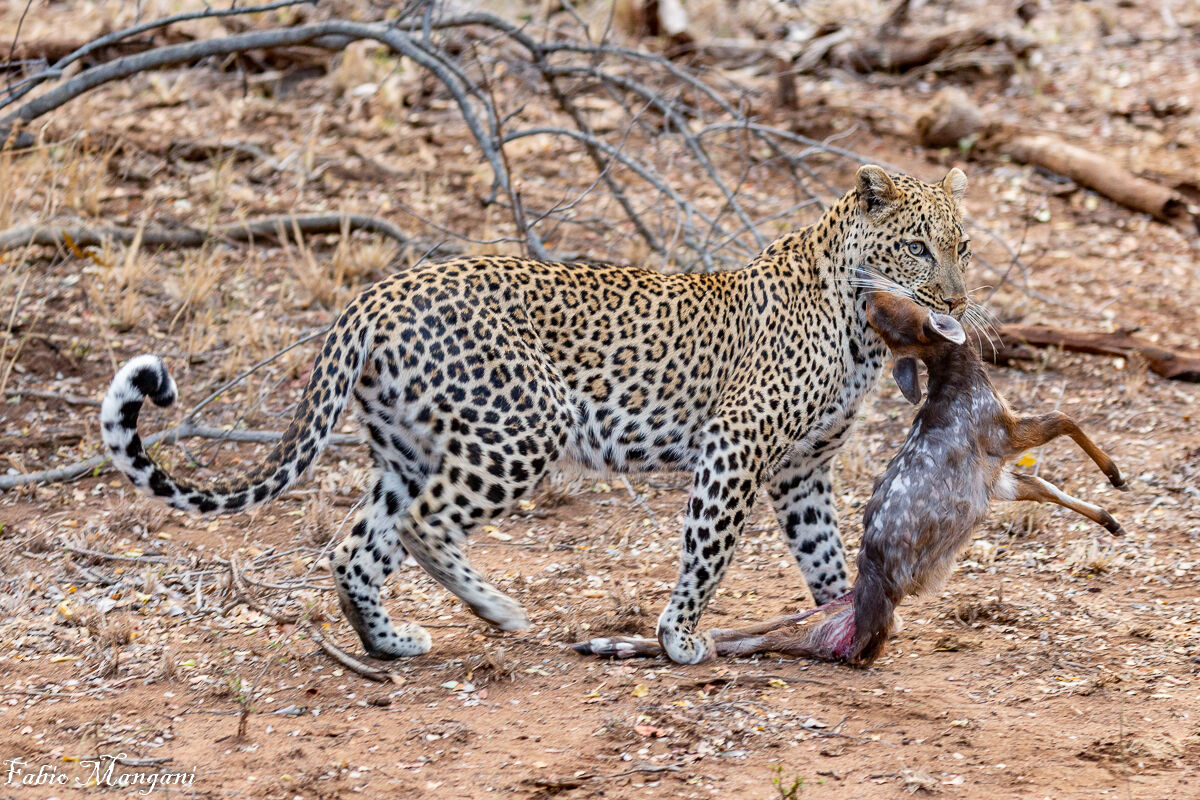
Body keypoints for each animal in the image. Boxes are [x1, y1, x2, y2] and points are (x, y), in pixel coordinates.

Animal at [100, 165, 972, 665]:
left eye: (962, 245)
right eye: (918, 248)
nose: (958, 300)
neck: (859, 328)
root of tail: (374, 296)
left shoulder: (802, 471)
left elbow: (825, 556)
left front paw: (844, 621)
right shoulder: (738, 446)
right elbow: (709, 551)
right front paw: (679, 637)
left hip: (411, 447)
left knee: (357, 544)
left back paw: (390, 642)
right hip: (527, 423)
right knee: (422, 525)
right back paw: (498, 610)